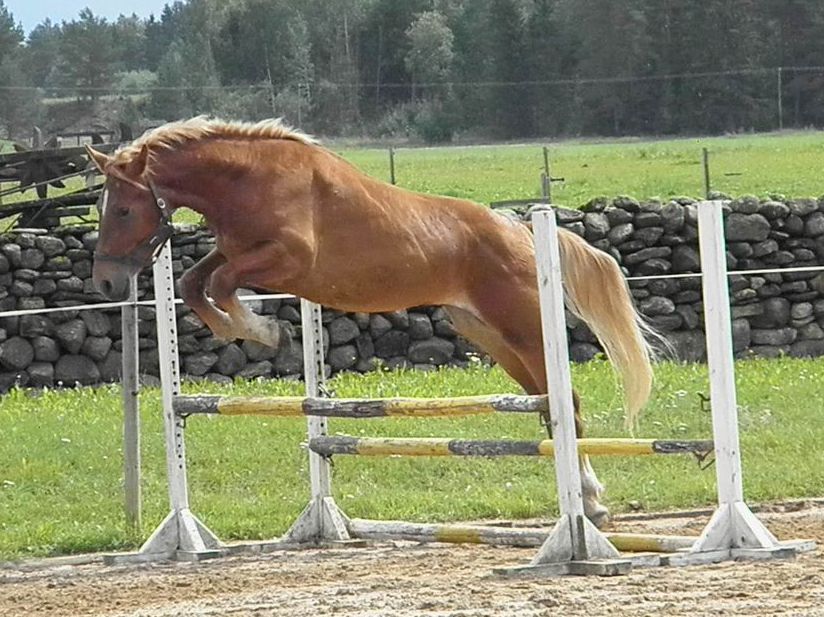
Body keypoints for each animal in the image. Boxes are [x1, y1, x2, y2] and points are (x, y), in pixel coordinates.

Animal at [87, 118, 652, 528]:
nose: (108, 284)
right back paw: (586, 499)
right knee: (546, 405)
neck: (251, 179)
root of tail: (521, 231)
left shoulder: (286, 259)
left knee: (565, 404)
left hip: (524, 326)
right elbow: (193, 282)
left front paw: (265, 331)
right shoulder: (235, 252)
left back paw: (591, 505)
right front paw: (253, 329)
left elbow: (222, 284)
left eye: (123, 210)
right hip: (491, 335)